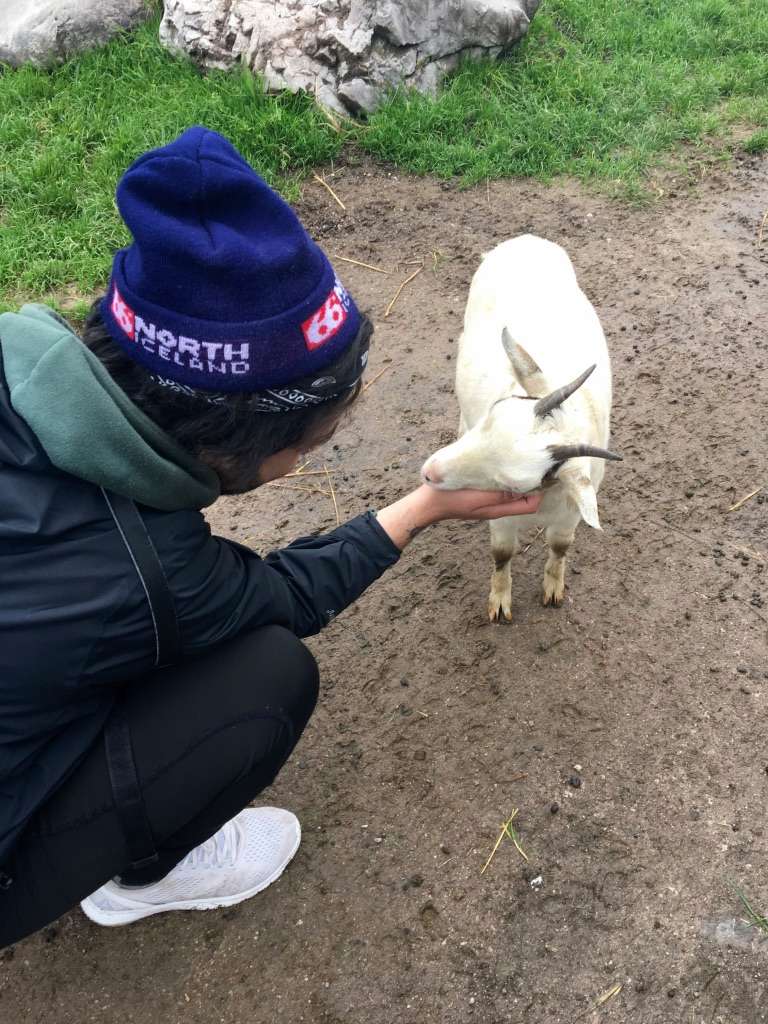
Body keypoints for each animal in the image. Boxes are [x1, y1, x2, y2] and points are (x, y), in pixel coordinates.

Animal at [423, 235, 622, 618]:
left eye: (513, 483)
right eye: (495, 411)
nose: (429, 471)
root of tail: (526, 239)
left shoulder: (570, 513)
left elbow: (560, 546)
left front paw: (553, 588)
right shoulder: (500, 517)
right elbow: (502, 554)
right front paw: (500, 602)